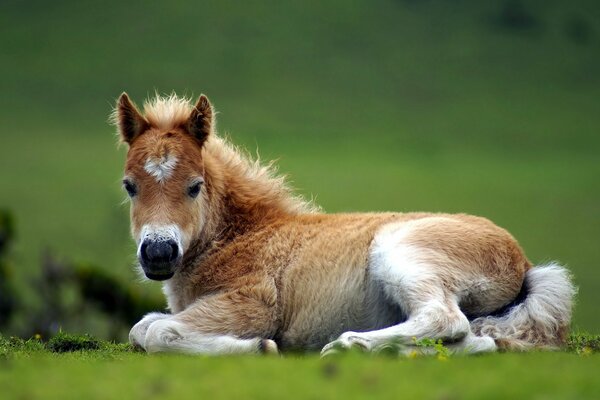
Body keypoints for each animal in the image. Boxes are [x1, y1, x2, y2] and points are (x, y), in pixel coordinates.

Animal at [113, 93, 576, 354]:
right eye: (129, 186)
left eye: (194, 186)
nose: (158, 253)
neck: (243, 235)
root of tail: (523, 263)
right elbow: (142, 327)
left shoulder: (250, 304)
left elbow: (157, 332)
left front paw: (259, 347)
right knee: (476, 342)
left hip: (401, 251)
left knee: (446, 320)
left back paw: (347, 344)